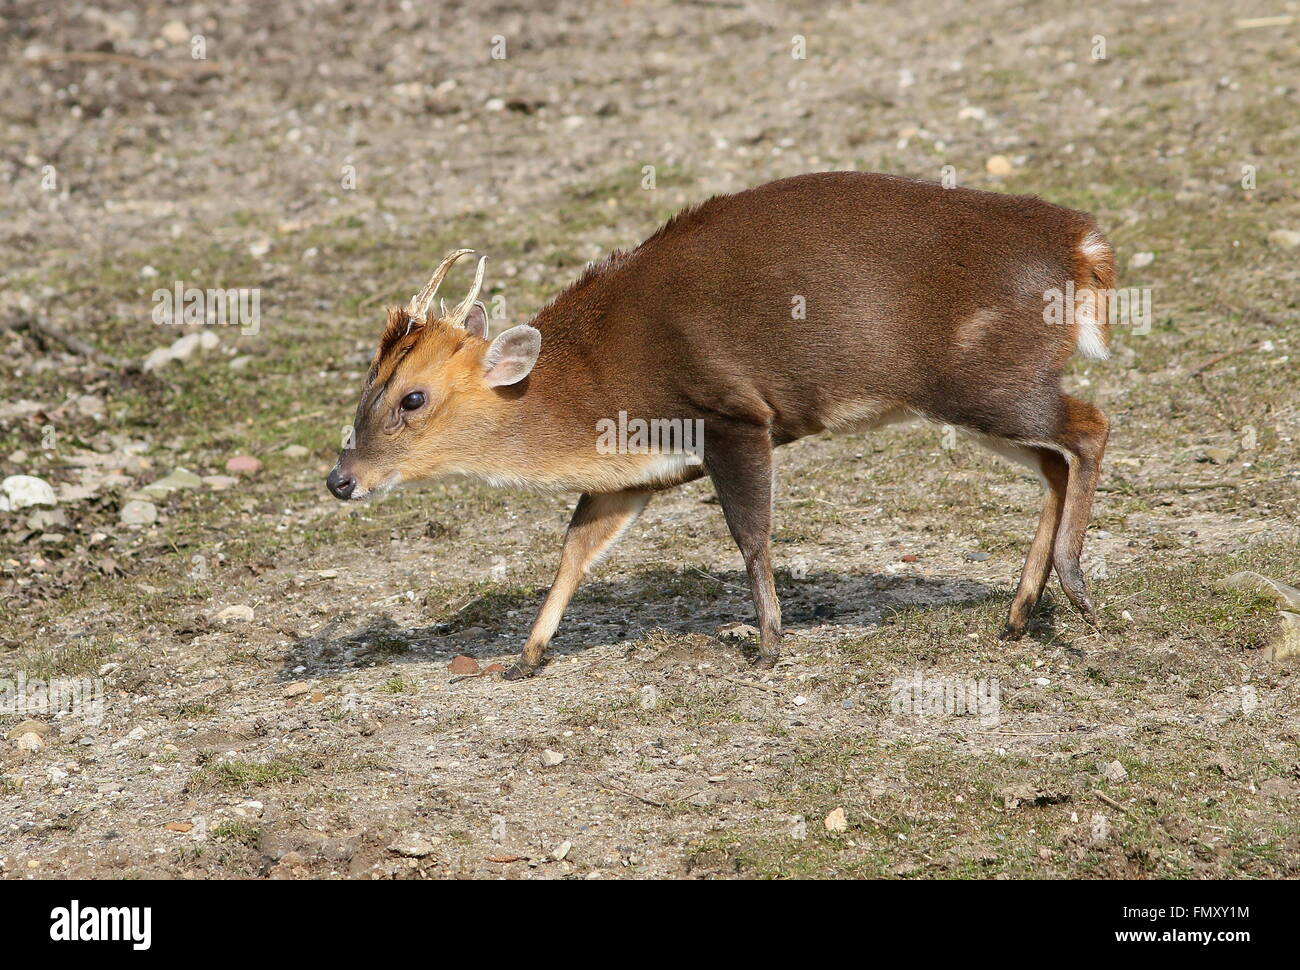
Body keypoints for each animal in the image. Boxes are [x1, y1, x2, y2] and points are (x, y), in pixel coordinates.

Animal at [330, 167, 1112, 681]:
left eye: (412, 398)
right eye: (368, 383)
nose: (341, 479)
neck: (595, 376)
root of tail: (1084, 245)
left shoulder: (732, 414)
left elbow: (751, 534)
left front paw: (768, 645)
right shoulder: (632, 473)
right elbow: (576, 546)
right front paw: (526, 657)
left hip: (984, 381)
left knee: (1090, 427)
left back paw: (1077, 591)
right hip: (980, 397)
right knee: (1055, 459)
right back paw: (1018, 613)